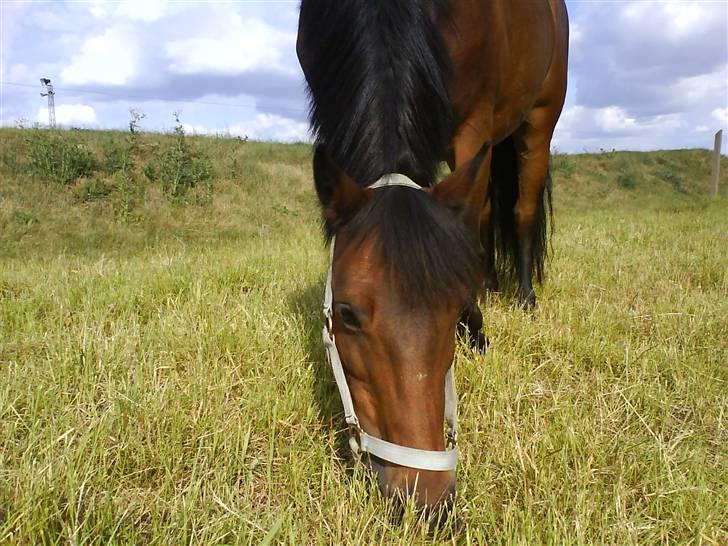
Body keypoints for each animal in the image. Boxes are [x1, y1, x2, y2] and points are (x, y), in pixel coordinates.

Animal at [296, 0, 568, 516]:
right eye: (346, 314)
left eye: (452, 308)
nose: (427, 497)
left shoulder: (475, 127)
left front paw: (476, 325)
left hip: (538, 122)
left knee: (517, 210)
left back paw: (522, 298)